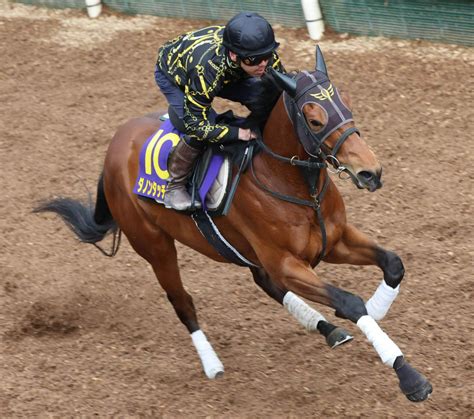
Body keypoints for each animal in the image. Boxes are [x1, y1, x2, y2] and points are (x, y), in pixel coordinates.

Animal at [34, 46, 434, 404]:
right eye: (315, 119)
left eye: (347, 105)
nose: (371, 172)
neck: (292, 183)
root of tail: (114, 145)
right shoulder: (286, 262)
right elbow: (349, 302)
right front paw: (409, 377)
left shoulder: (333, 242)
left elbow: (393, 263)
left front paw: (378, 308)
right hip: (154, 245)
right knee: (183, 301)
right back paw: (212, 364)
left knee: (264, 283)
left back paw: (327, 329)